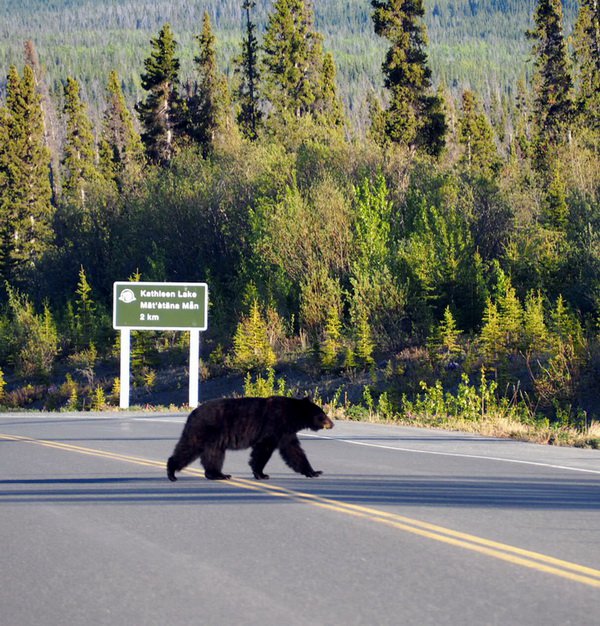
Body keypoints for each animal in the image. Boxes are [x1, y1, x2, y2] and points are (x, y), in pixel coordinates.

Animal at [165, 394, 332, 478]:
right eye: (322, 415)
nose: (332, 424)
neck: (292, 415)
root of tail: (192, 413)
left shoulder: (286, 433)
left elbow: (294, 452)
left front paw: (313, 472)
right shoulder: (274, 424)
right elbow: (263, 448)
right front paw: (261, 474)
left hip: (214, 439)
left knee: (214, 455)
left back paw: (219, 474)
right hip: (203, 430)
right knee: (189, 447)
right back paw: (171, 471)